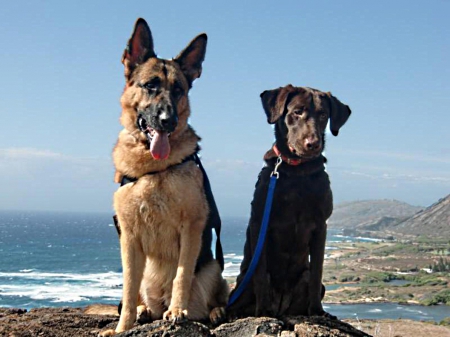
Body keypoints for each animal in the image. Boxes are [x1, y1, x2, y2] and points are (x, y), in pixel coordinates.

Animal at [101, 17, 229, 334]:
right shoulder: (129, 239)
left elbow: (181, 275)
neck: (152, 168)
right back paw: (145, 311)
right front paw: (122, 327)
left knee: (217, 294)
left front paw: (178, 310)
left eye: (179, 89)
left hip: (213, 268)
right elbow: (128, 290)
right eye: (150, 85)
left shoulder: (191, 227)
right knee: (140, 295)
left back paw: (213, 311)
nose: (167, 121)